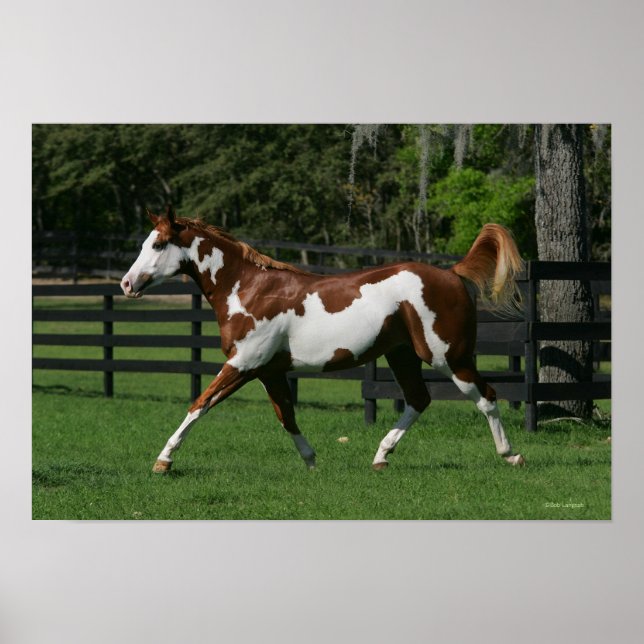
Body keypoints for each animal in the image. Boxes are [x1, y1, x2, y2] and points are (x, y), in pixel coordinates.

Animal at [121, 207, 525, 473]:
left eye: (158, 245)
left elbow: (200, 404)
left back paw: (510, 455)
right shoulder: (268, 371)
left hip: (449, 357)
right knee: (418, 399)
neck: (248, 290)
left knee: (486, 397)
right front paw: (312, 460)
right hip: (402, 355)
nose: (126, 284)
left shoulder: (243, 364)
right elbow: (286, 415)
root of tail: (453, 274)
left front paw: (163, 460)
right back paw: (381, 456)